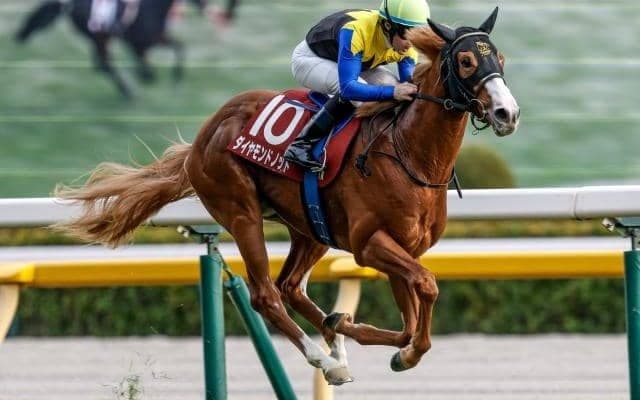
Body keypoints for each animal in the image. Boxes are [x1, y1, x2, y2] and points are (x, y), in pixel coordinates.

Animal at [14, 0, 237, 98]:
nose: (206, 8)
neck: (152, 9)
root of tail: (67, 4)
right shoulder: (138, 44)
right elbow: (145, 66)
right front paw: (147, 77)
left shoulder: (157, 39)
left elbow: (180, 47)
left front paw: (176, 78)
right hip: (99, 36)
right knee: (104, 64)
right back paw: (129, 93)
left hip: (101, 38)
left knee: (100, 63)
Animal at [54, 8, 520, 385]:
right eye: (466, 61)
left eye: (500, 59)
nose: (507, 113)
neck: (409, 153)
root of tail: (203, 137)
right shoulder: (370, 245)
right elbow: (426, 287)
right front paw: (377, 342)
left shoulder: (404, 249)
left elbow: (411, 315)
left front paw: (372, 338)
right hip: (241, 212)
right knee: (266, 294)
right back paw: (325, 359)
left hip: (309, 226)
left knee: (290, 286)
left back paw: (334, 343)